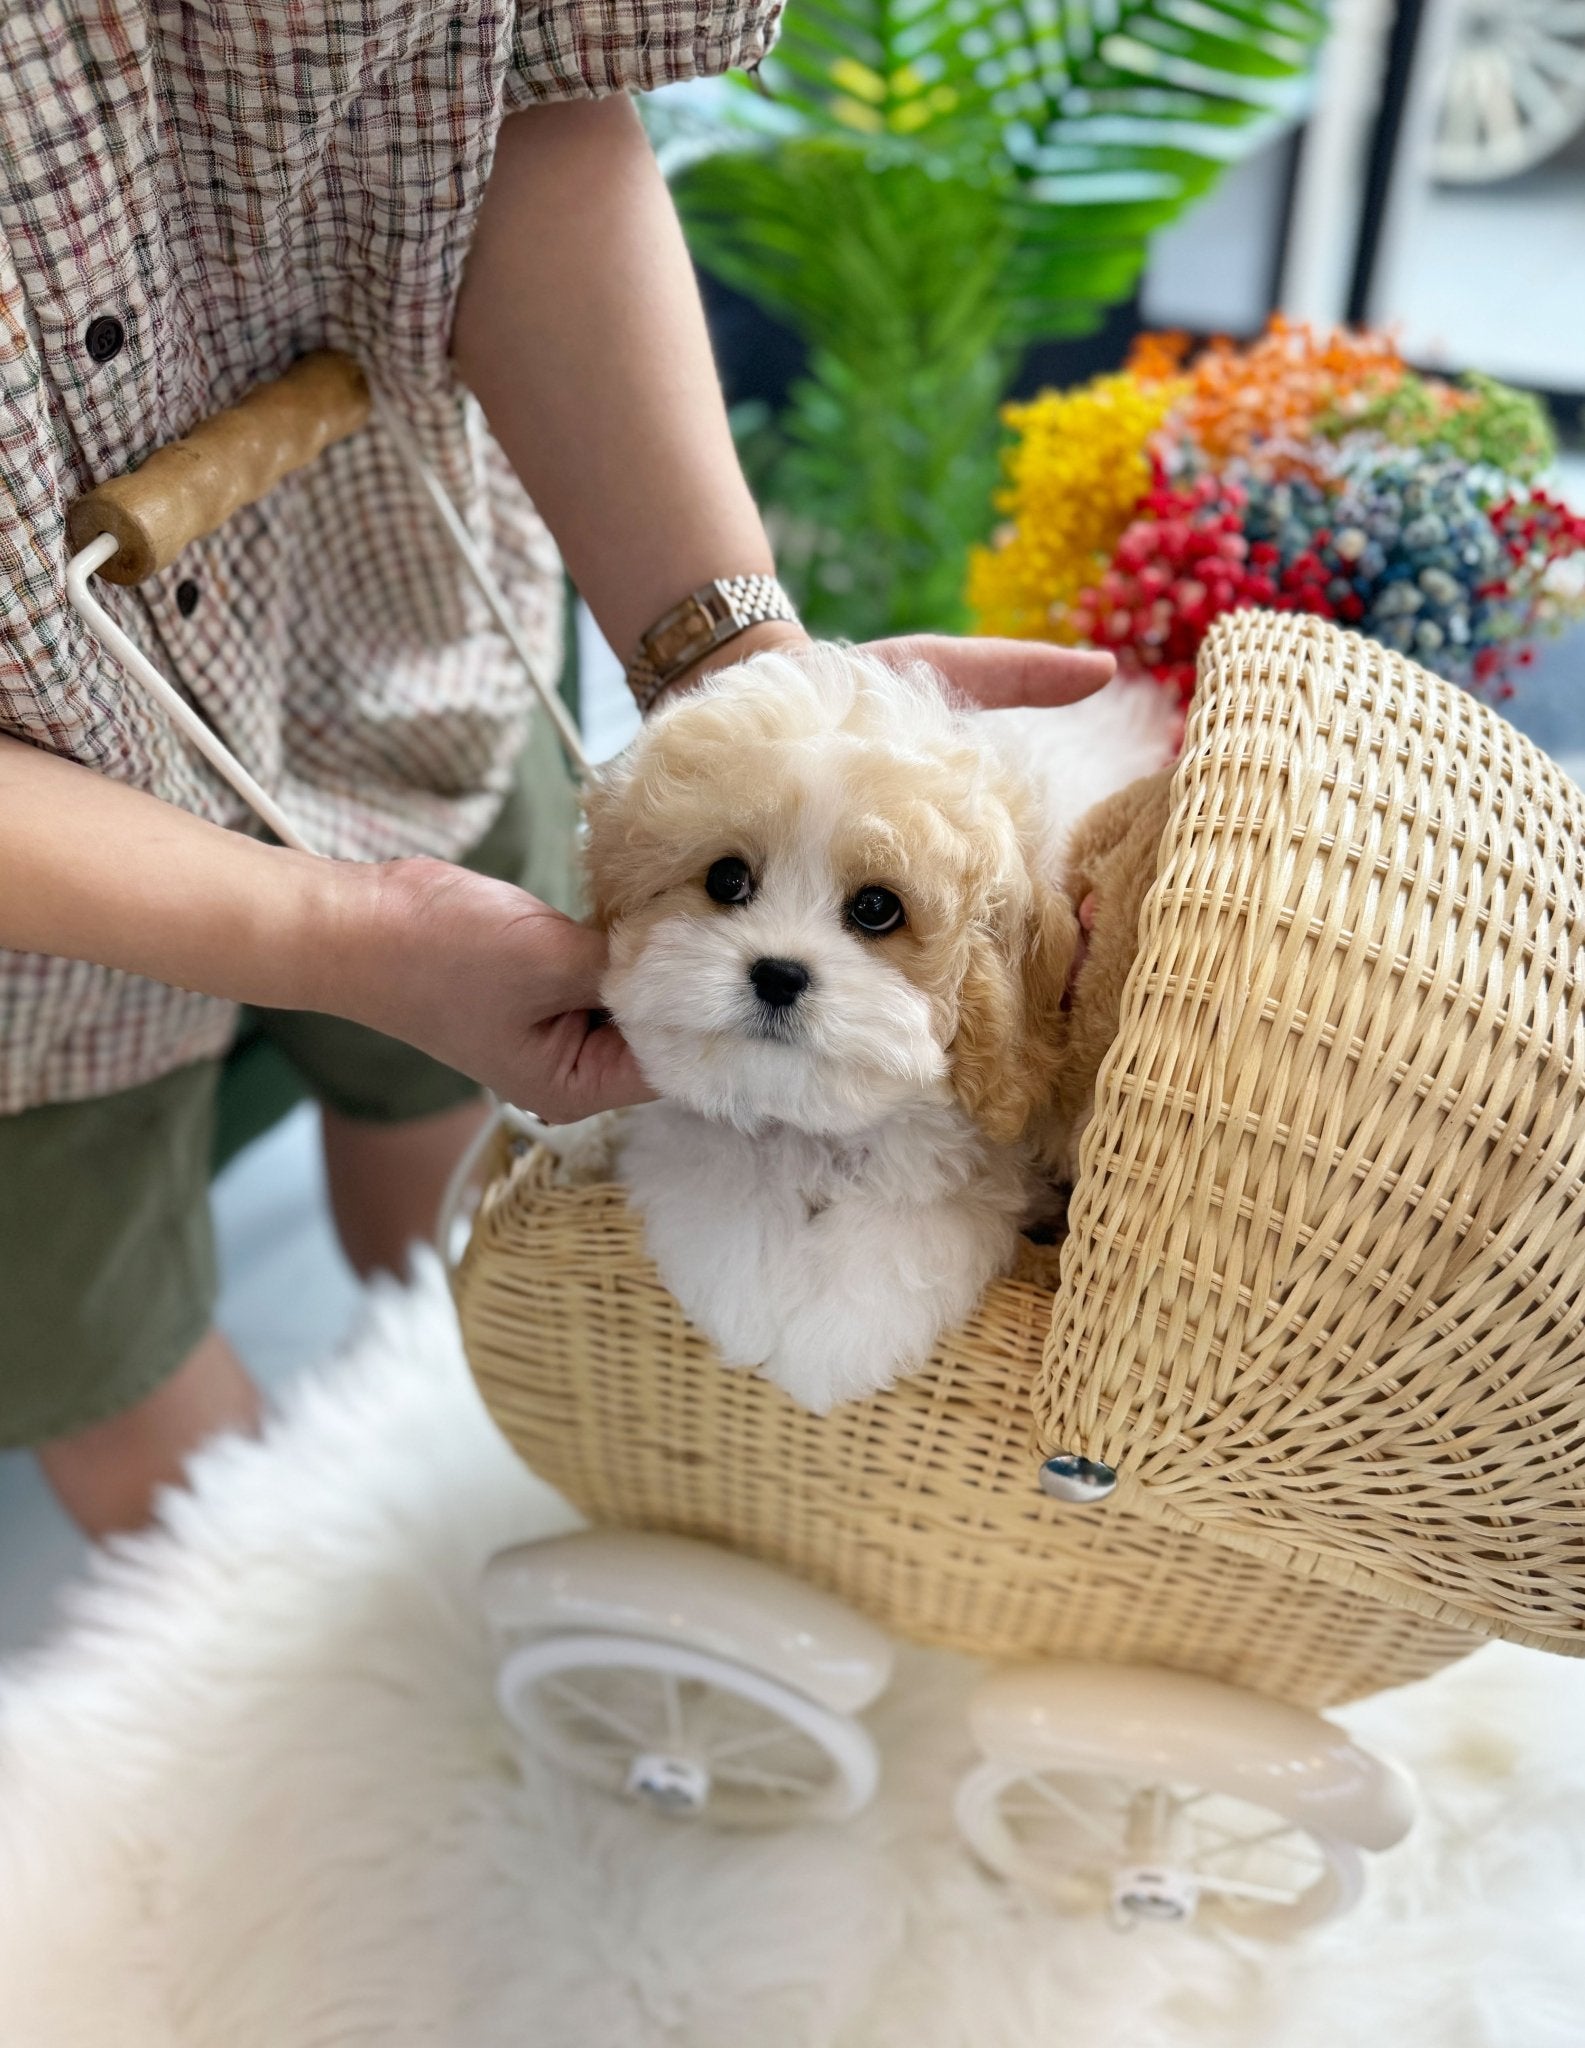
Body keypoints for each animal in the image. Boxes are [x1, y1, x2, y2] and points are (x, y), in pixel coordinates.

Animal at [581, 643, 1179, 1409]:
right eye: (725, 879)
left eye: (875, 909)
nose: (778, 973)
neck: (810, 1119)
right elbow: (719, 1179)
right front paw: (748, 1305)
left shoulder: (977, 1155)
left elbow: (904, 1233)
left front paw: (825, 1348)